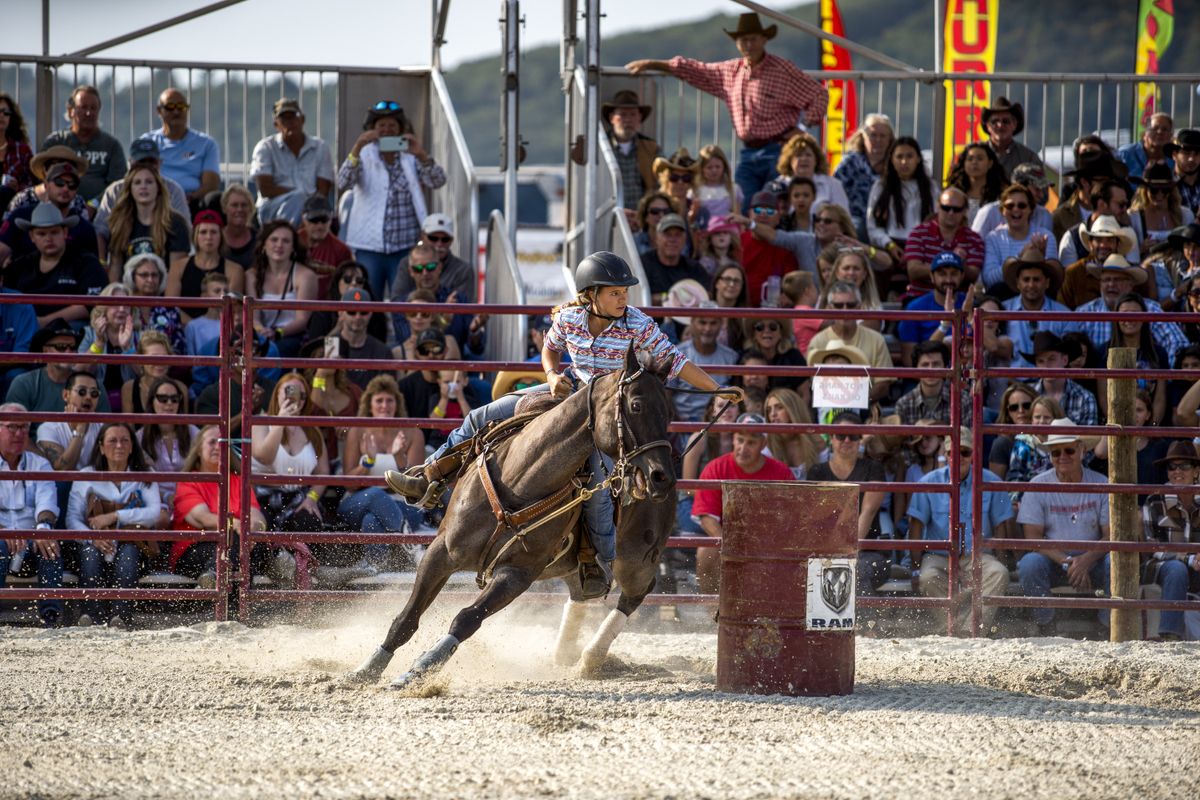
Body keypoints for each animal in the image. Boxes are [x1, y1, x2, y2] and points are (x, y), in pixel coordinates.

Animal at [350, 347, 686, 690]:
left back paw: (590, 658)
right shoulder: (441, 551)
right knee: (581, 592)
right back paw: (565, 653)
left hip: (635, 559)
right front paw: (368, 668)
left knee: (637, 591)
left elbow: (466, 618)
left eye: (669, 413)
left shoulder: (517, 574)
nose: (659, 477)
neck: (520, 480)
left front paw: (419, 669)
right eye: (636, 404)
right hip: (572, 563)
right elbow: (407, 618)